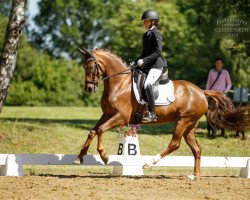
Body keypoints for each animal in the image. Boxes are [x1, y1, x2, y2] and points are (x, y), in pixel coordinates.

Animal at [74, 47, 250, 177]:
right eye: (83, 67)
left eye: (92, 67)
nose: (88, 88)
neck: (119, 84)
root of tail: (201, 91)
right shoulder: (107, 114)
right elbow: (93, 131)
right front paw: (80, 157)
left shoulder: (121, 117)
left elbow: (101, 130)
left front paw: (104, 156)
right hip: (190, 126)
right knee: (196, 148)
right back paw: (195, 175)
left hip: (183, 121)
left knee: (175, 144)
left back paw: (149, 163)